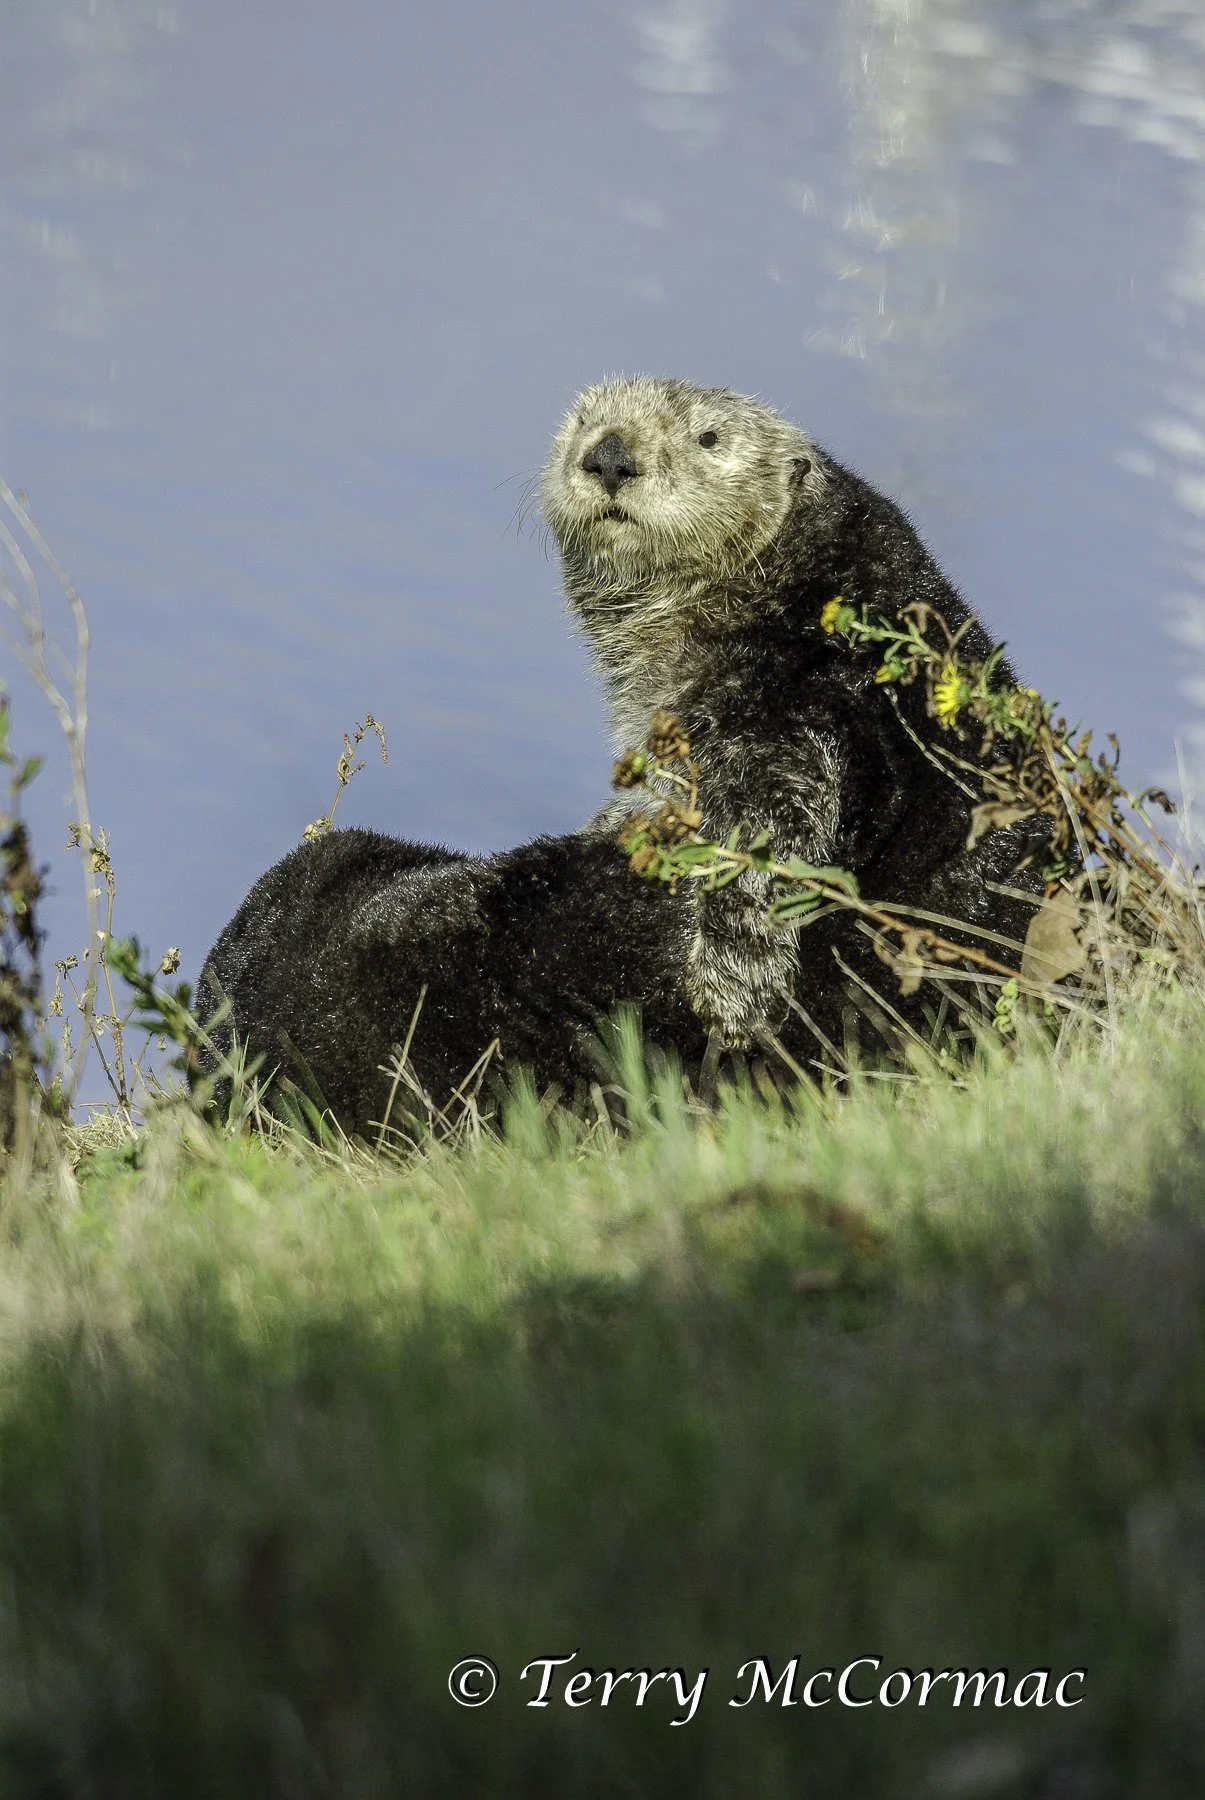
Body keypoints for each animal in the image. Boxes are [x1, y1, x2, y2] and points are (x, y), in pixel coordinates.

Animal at [541, 374, 1043, 1052]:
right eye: (582, 421)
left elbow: (771, 841)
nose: (610, 455)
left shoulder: (788, 711)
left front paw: (731, 1000)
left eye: (709, 436)